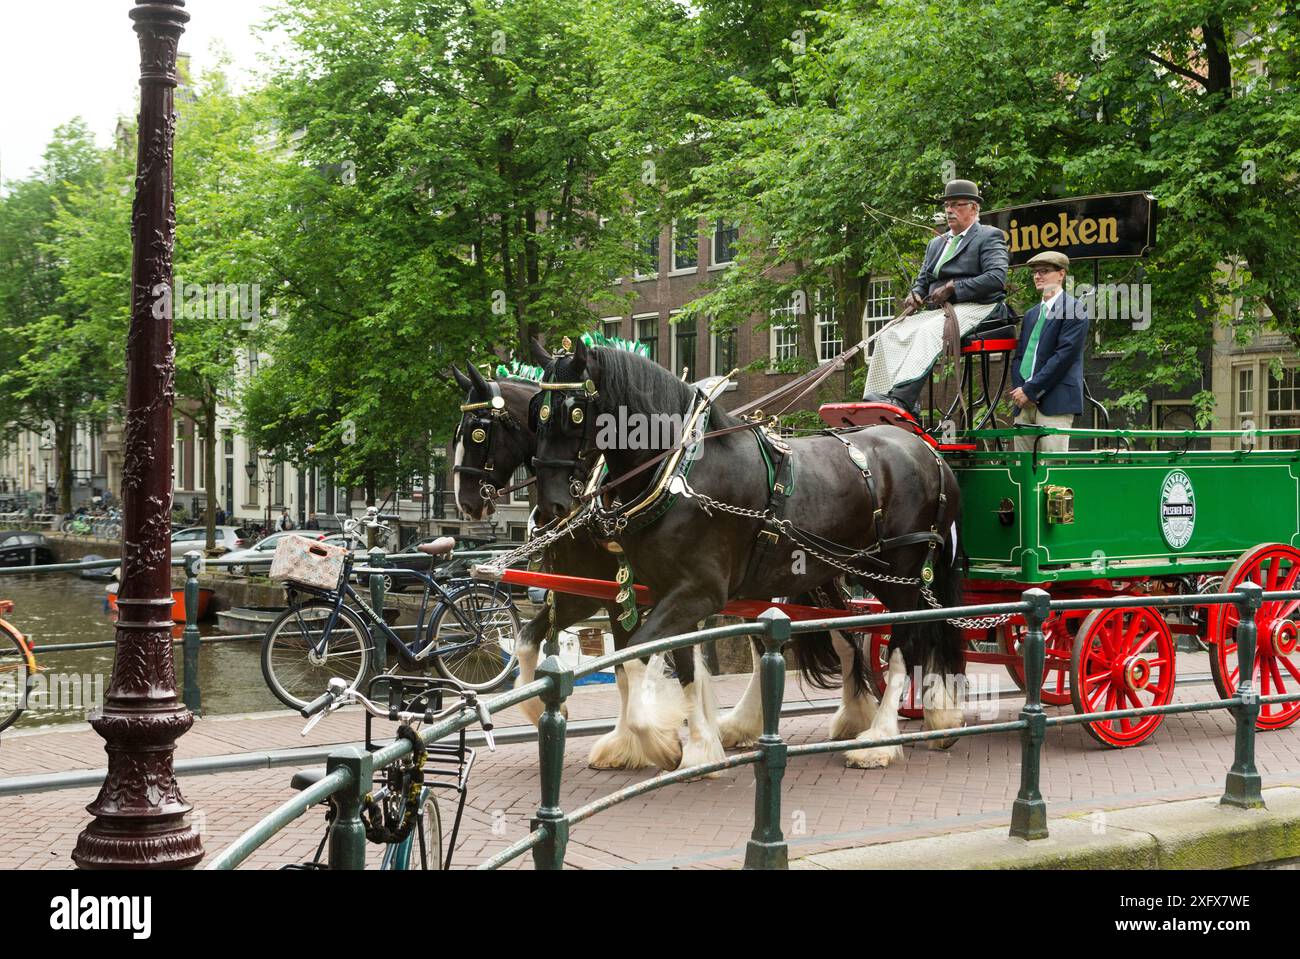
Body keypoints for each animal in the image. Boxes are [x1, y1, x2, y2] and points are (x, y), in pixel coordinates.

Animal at [527, 337, 967, 769]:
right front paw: (697, 748)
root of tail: (930, 453)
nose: (550, 507)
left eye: (574, 412)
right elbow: (675, 663)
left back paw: (880, 740)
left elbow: (635, 657)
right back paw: (914, 718)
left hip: (902, 574)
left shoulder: (696, 592)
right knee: (863, 636)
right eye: (536, 412)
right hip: (836, 570)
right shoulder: (657, 591)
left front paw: (658, 744)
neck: (678, 473)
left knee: (907, 642)